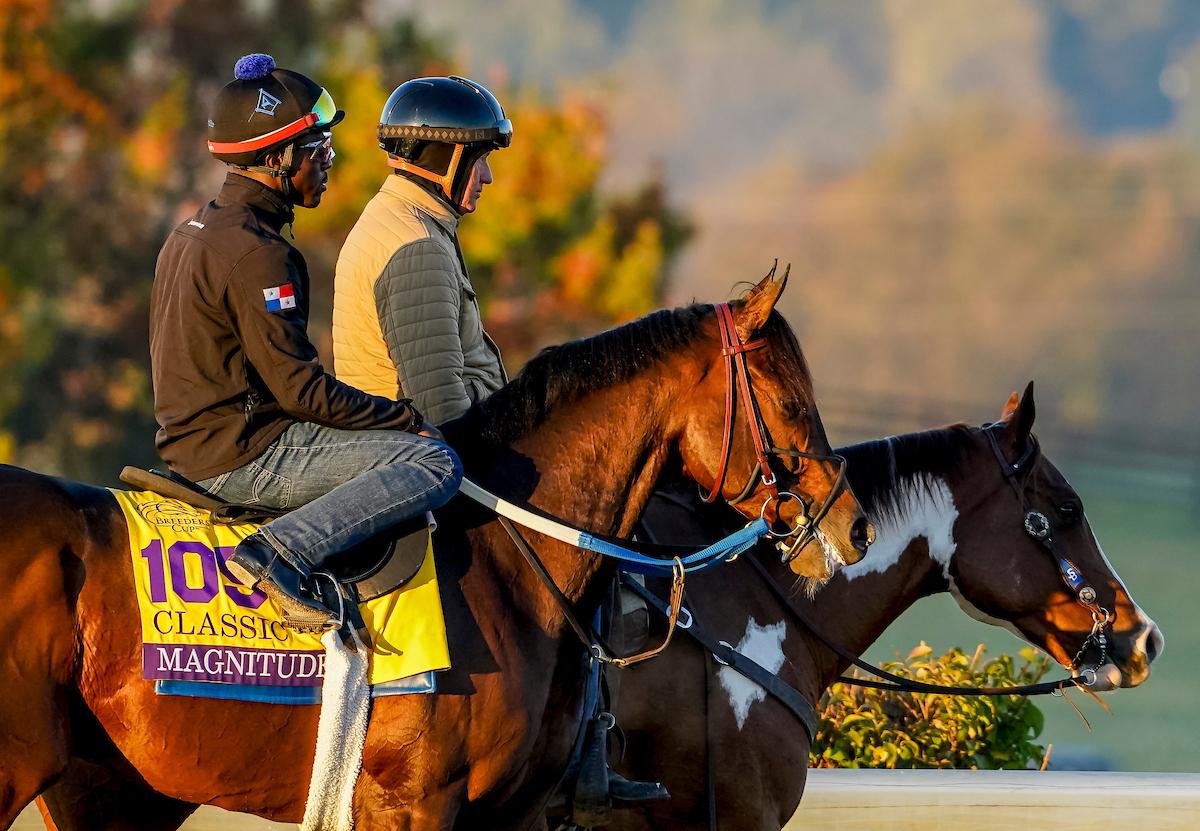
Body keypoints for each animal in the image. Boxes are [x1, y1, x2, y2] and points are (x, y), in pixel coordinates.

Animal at [0, 273, 874, 830]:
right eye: (789, 399)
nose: (853, 524)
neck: (508, 562)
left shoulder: (510, 812)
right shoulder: (414, 803)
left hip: (111, 790)